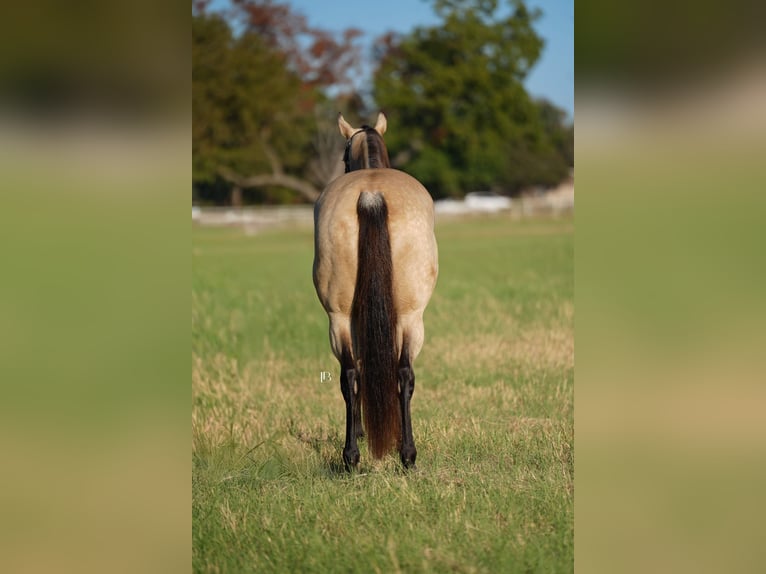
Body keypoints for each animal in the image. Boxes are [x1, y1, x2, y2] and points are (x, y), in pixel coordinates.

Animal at [313, 112, 439, 470]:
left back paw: (352, 456)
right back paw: (406, 454)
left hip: (340, 317)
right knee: (404, 374)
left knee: (351, 374)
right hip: (411, 317)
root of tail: (370, 194)